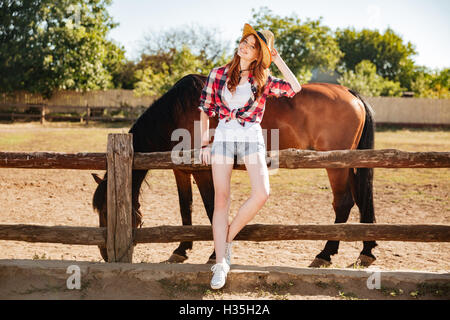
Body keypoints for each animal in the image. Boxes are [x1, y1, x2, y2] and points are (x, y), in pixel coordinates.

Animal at [92, 72, 376, 268]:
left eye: (107, 210)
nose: (106, 254)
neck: (179, 111)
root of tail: (352, 94)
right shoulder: (181, 170)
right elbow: (186, 207)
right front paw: (181, 249)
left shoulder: (203, 171)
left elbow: (211, 209)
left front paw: (212, 254)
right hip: (349, 163)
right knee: (361, 199)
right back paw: (366, 251)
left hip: (335, 166)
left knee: (343, 203)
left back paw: (325, 254)